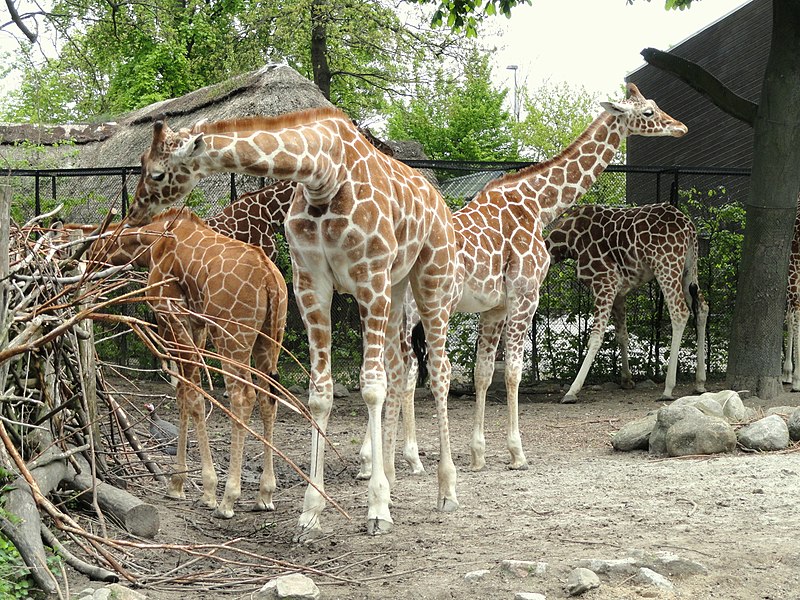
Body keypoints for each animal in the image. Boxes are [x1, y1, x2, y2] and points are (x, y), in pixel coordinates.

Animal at [127, 106, 460, 540]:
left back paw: (446, 490)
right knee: (400, 366)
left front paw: (376, 510)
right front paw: (311, 512)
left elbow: (371, 388)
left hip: (430, 277)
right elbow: (319, 394)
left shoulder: (368, 278)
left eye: (156, 173)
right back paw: (388, 471)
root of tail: (437, 196)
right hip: (397, 284)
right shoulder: (311, 284)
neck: (324, 174)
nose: (135, 213)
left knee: (438, 370)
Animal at [392, 82, 688, 474]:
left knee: (401, 370)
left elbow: (483, 372)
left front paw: (479, 454)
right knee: (427, 371)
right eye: (648, 112)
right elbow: (513, 371)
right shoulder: (525, 294)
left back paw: (398, 460)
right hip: (433, 309)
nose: (680, 127)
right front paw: (516, 453)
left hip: (403, 311)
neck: (538, 204)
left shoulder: (496, 307)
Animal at [544, 202, 708, 404]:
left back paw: (668, 388)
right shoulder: (619, 293)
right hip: (689, 267)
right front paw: (627, 379)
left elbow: (596, 337)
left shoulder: (605, 282)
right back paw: (700, 382)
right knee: (701, 307)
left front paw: (572, 391)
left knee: (680, 312)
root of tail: (688, 226)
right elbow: (622, 335)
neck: (568, 241)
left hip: (666, 265)